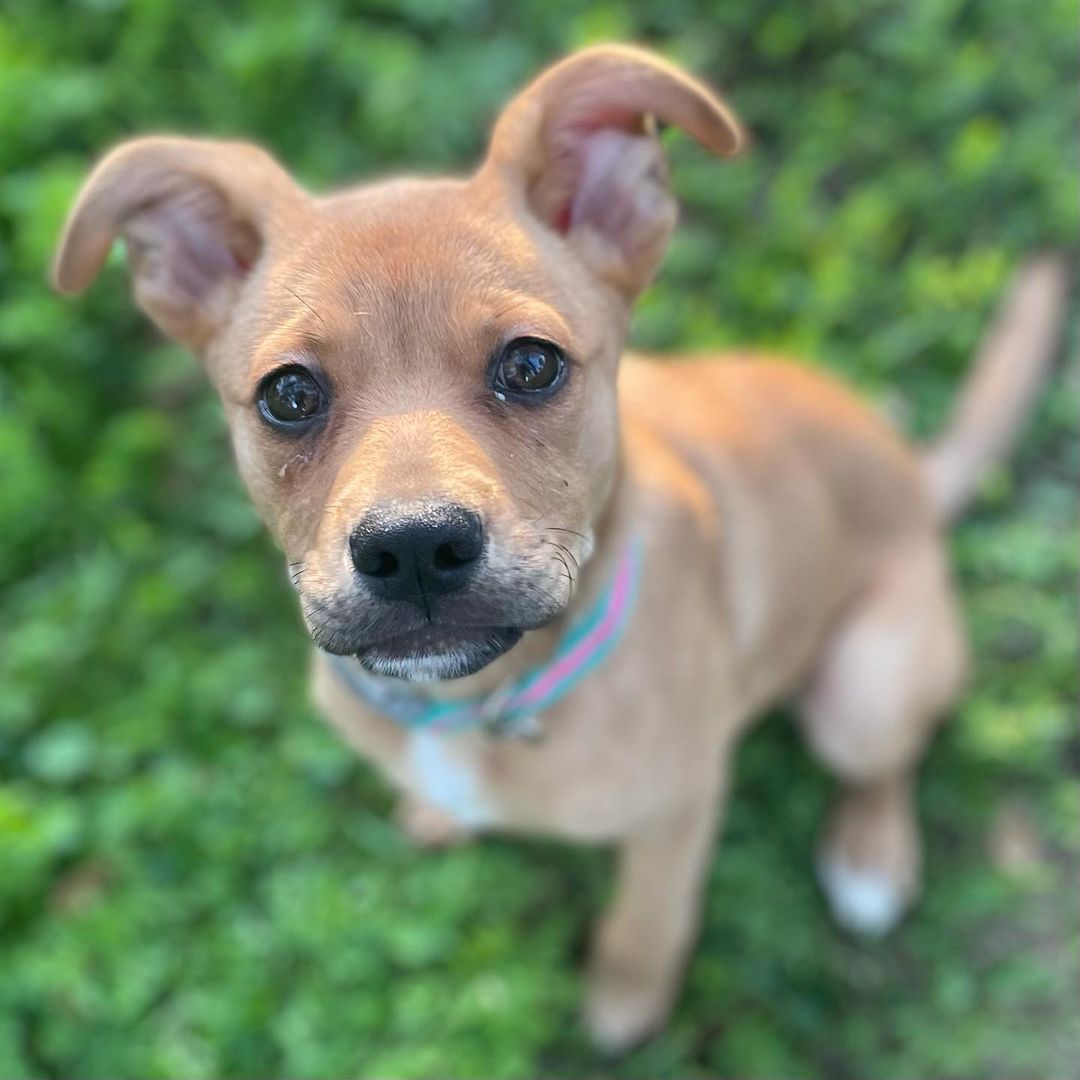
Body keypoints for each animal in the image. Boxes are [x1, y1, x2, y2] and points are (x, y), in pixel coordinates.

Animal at [50, 44, 1062, 1054]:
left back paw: (870, 856)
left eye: (532, 365)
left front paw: (622, 1010)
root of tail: (915, 477)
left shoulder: (677, 813)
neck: (484, 703)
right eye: (287, 395)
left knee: (884, 762)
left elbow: (645, 926)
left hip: (865, 690)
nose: (414, 547)